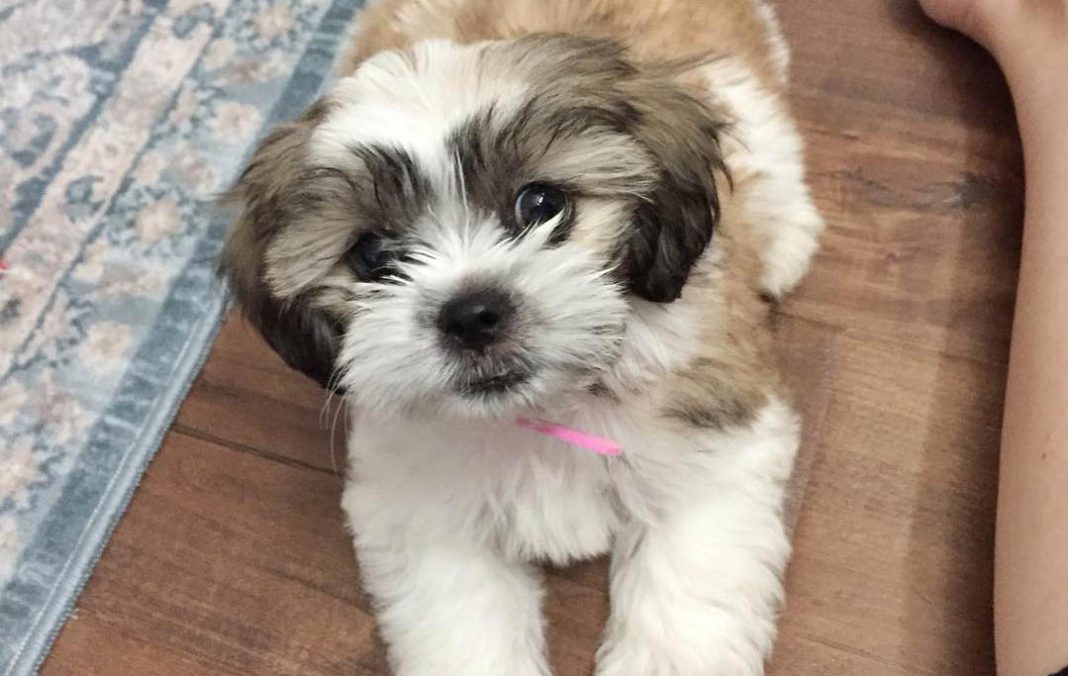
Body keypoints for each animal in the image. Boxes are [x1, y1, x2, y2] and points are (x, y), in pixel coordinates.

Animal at [218, 0, 824, 670]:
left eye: (540, 205)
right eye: (372, 254)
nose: (471, 313)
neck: (542, 411)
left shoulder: (712, 448)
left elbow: (685, 597)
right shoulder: (419, 508)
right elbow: (462, 624)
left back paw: (786, 236)